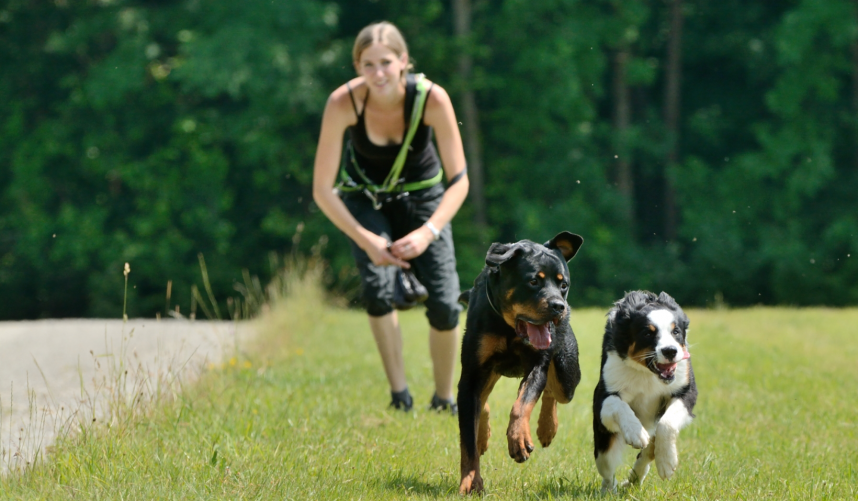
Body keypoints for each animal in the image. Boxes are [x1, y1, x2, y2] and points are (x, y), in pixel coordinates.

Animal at [454, 232, 580, 494]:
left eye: (563, 285)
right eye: (533, 282)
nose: (559, 306)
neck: (509, 328)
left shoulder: (537, 366)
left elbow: (522, 404)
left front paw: (519, 439)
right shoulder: (471, 374)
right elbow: (467, 439)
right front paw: (471, 481)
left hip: (568, 374)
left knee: (553, 391)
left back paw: (547, 428)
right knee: (481, 401)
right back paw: (484, 433)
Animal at [588, 292, 696, 490]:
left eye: (675, 332)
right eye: (648, 333)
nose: (670, 351)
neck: (648, 374)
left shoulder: (686, 390)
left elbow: (666, 423)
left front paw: (667, 463)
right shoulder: (603, 396)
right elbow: (619, 405)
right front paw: (636, 434)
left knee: (647, 453)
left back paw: (635, 477)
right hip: (603, 446)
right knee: (607, 471)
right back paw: (611, 489)